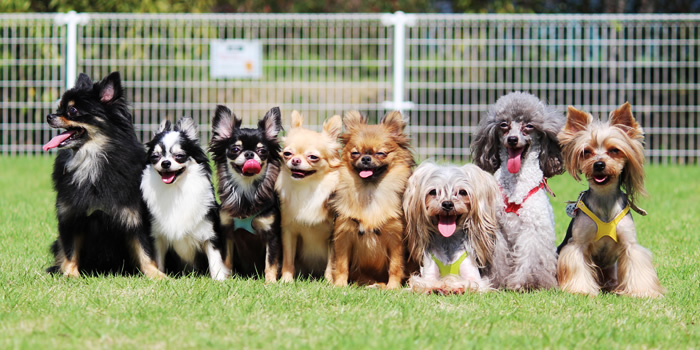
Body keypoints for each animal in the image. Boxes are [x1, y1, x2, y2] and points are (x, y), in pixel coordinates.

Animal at [43, 72, 163, 278]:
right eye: (59, 108)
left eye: (72, 110)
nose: (49, 116)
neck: (92, 158)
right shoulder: (72, 217)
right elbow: (69, 250)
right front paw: (70, 274)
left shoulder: (135, 217)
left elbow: (144, 250)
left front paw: (156, 275)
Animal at [141, 119, 231, 280]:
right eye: (155, 157)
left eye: (179, 156)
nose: (165, 163)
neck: (176, 189)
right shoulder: (158, 238)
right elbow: (158, 260)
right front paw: (160, 277)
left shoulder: (210, 235)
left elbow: (215, 261)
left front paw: (219, 280)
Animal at [209, 106, 284, 282]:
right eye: (235, 149)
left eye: (262, 150)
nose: (249, 153)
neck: (246, 189)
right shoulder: (227, 232)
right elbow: (227, 259)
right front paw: (226, 278)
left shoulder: (272, 235)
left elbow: (271, 261)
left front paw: (270, 282)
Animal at [330, 110, 412, 288]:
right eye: (355, 153)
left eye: (381, 153)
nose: (366, 158)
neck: (369, 192)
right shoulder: (344, 234)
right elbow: (341, 264)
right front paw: (340, 285)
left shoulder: (395, 238)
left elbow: (395, 265)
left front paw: (393, 287)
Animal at [556, 102, 660, 296]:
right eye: (586, 152)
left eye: (614, 150)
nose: (599, 164)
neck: (604, 197)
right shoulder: (578, 244)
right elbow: (578, 264)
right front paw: (581, 290)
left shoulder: (629, 243)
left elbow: (636, 265)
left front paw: (642, 292)